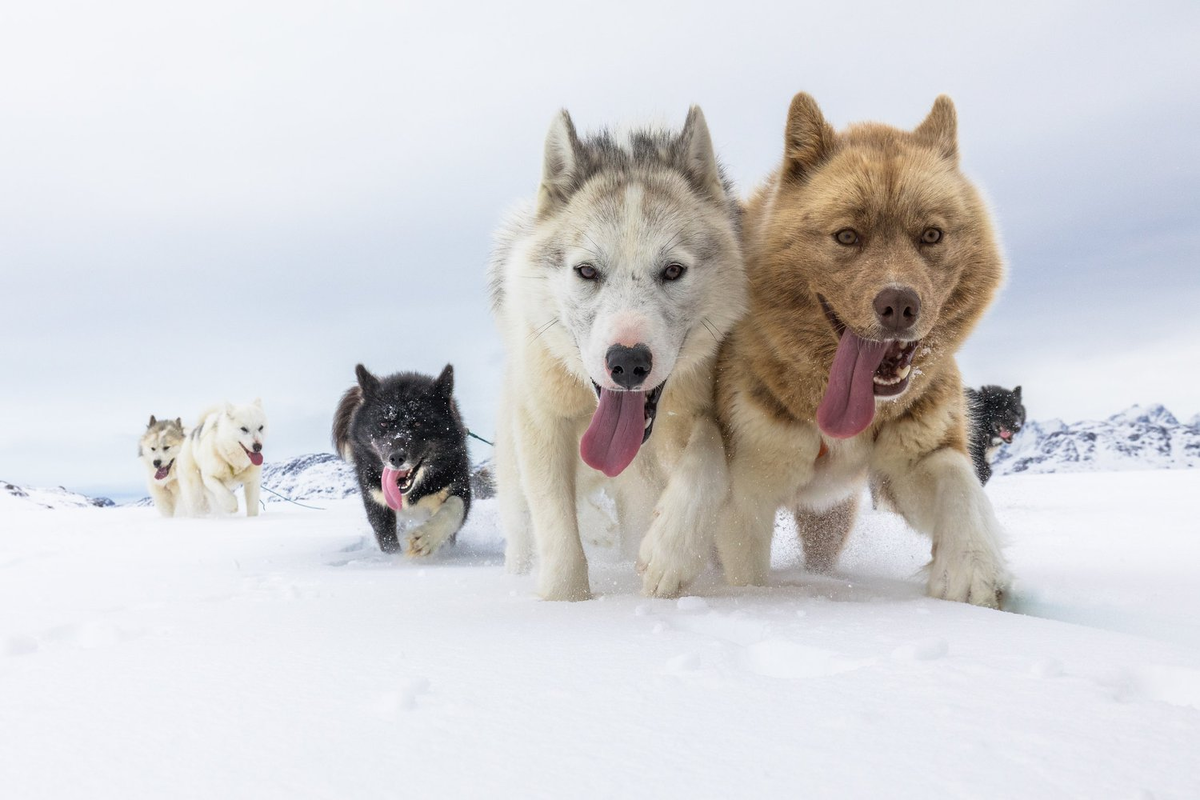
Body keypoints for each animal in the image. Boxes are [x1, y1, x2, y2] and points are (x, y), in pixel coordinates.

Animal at [338, 364, 472, 556]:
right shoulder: (376, 501)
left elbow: (454, 507)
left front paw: (427, 537)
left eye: (417, 423)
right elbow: (387, 540)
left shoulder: (457, 485)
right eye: (383, 423)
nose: (396, 457)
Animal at [705, 94, 1008, 606]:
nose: (899, 304)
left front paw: (971, 569)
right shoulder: (745, 499)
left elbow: (956, 479)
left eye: (931, 235)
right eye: (847, 236)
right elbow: (746, 575)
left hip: (829, 522)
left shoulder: (913, 459)